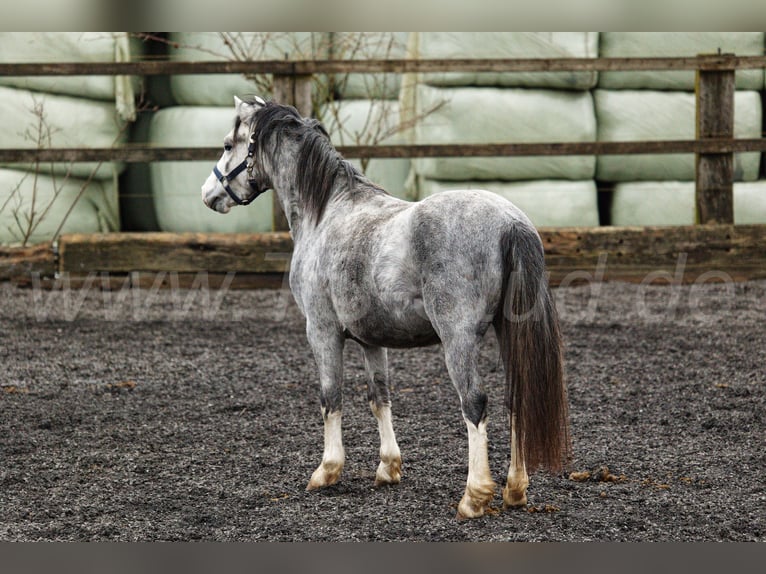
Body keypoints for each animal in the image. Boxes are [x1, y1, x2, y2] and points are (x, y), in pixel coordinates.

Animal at [201, 97, 572, 520]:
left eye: (228, 144)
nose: (208, 193)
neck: (325, 212)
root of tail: (510, 222)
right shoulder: (370, 339)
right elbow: (380, 398)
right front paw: (388, 468)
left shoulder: (322, 331)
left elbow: (330, 398)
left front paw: (327, 471)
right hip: (508, 333)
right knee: (516, 400)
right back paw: (515, 489)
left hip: (458, 340)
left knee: (475, 403)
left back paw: (475, 496)